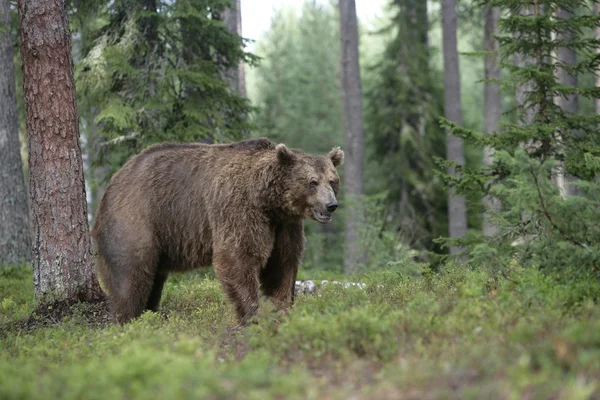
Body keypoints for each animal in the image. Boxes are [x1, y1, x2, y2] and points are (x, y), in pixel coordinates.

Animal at [89, 137, 342, 322]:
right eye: (312, 182)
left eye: (332, 181)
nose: (331, 205)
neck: (268, 201)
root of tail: (114, 181)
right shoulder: (237, 207)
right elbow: (237, 257)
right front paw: (253, 313)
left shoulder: (284, 225)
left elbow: (282, 263)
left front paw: (281, 307)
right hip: (135, 220)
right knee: (131, 275)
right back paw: (129, 319)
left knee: (154, 279)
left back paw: (151, 313)